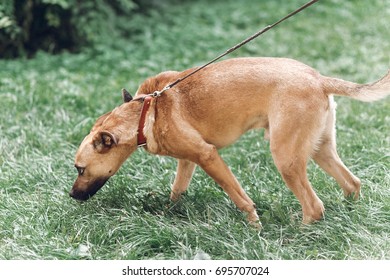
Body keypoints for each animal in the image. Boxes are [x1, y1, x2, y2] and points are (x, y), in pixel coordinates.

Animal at [70, 57, 390, 228]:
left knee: (314, 207)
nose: (72, 196)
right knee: (352, 183)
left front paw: (254, 226)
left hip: (286, 158)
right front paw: (168, 212)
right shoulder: (187, 160)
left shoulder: (208, 156)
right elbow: (177, 190)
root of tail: (319, 79)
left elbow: (239, 197)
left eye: (80, 169)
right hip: (320, 151)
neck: (146, 111)